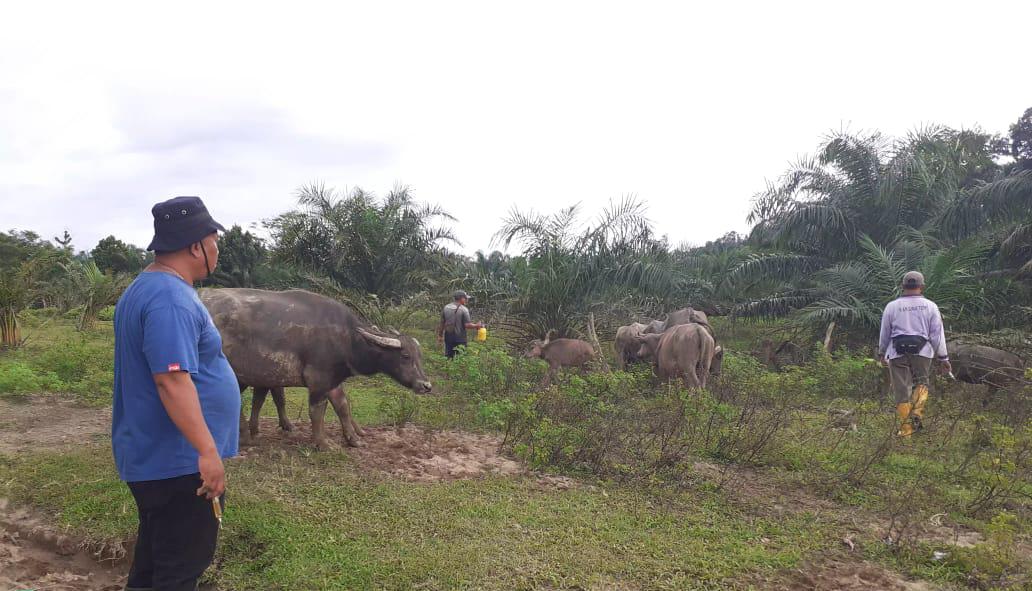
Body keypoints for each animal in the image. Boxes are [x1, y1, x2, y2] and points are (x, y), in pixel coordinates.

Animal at [201, 288, 431, 449]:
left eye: (420, 356)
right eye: (405, 356)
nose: (426, 385)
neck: (347, 339)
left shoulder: (332, 380)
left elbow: (342, 406)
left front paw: (354, 439)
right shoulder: (318, 380)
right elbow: (317, 411)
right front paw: (322, 443)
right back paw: (244, 437)